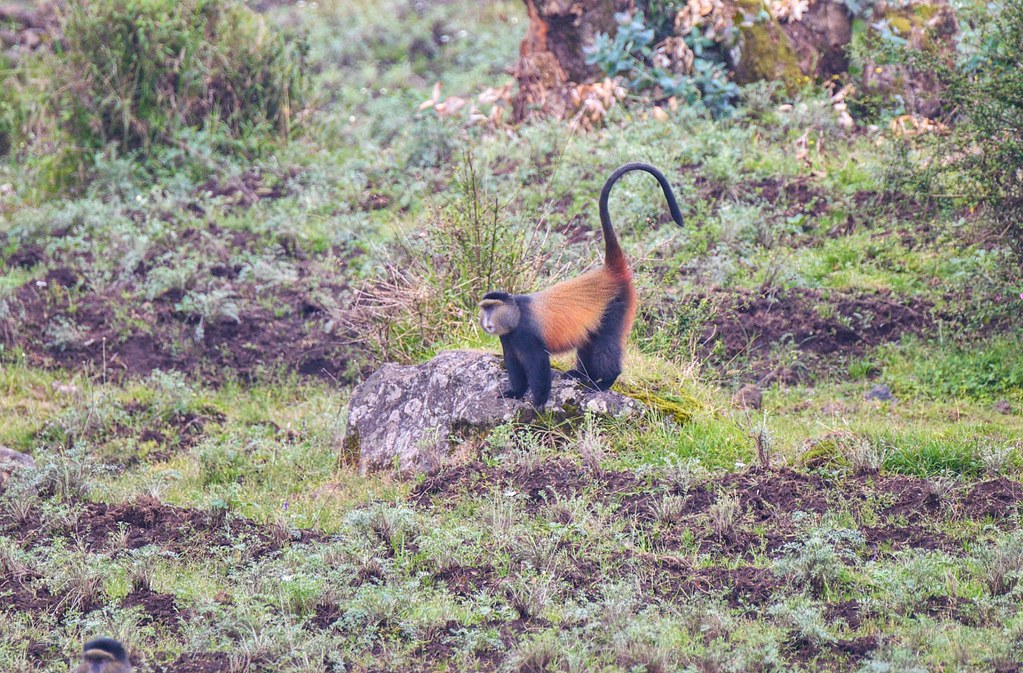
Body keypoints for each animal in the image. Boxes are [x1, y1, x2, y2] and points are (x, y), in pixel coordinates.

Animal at [479, 162, 684, 407]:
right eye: (485, 309)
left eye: (492, 308)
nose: (486, 321)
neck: (516, 313)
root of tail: (610, 273)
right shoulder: (507, 339)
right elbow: (514, 366)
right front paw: (515, 392)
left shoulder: (527, 336)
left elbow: (539, 368)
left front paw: (537, 405)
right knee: (589, 341)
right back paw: (583, 375)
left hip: (616, 308)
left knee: (606, 344)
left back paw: (606, 381)